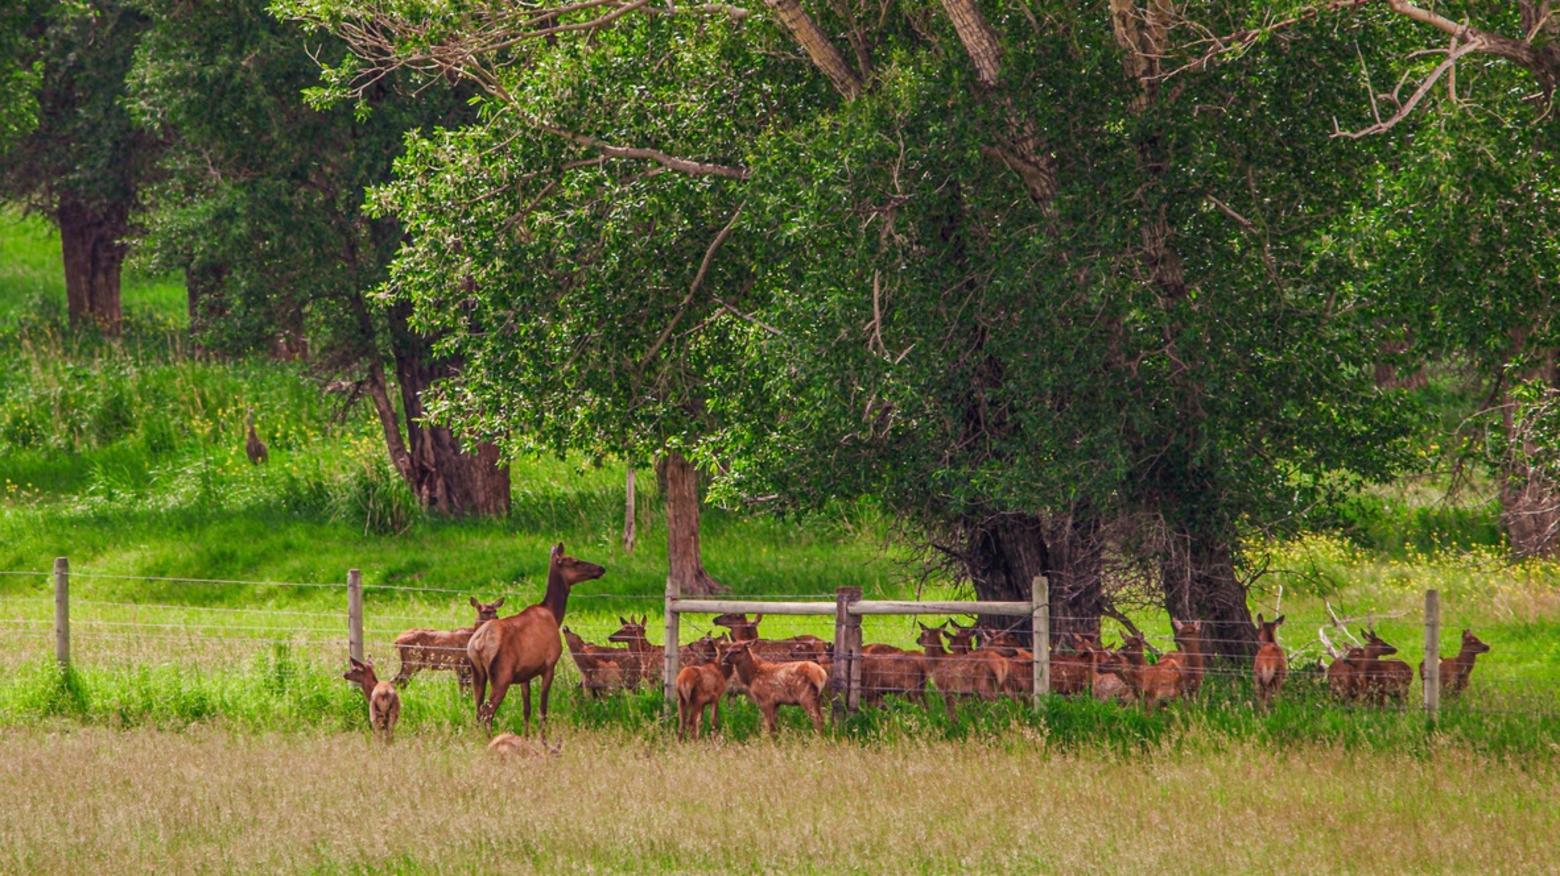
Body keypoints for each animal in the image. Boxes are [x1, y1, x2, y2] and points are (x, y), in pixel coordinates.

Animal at [461, 542, 602, 732]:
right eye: (575, 561)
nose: (601, 568)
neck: (554, 614)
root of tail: (477, 644)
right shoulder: (549, 665)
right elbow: (542, 710)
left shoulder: (524, 674)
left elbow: (526, 710)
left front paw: (526, 736)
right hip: (501, 675)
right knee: (486, 712)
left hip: (477, 673)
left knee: (477, 710)